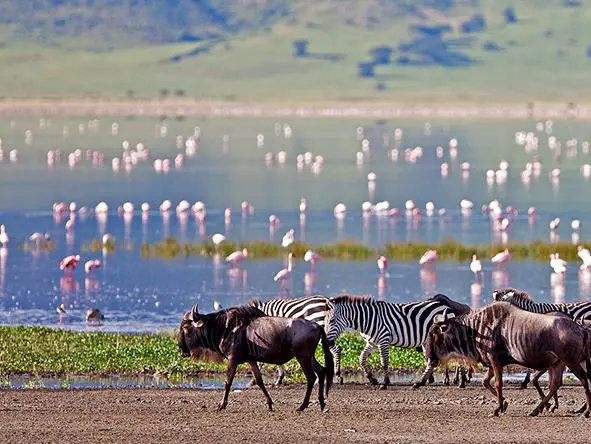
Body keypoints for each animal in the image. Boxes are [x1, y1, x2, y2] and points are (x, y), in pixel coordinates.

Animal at [324, 294, 472, 390]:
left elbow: (384, 362)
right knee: (431, 361)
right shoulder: (372, 343)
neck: (368, 319)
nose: (327, 342)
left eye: (331, 321)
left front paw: (384, 383)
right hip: (428, 340)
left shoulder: (383, 339)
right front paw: (372, 379)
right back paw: (421, 383)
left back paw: (461, 383)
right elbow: (361, 359)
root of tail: (446, 307)